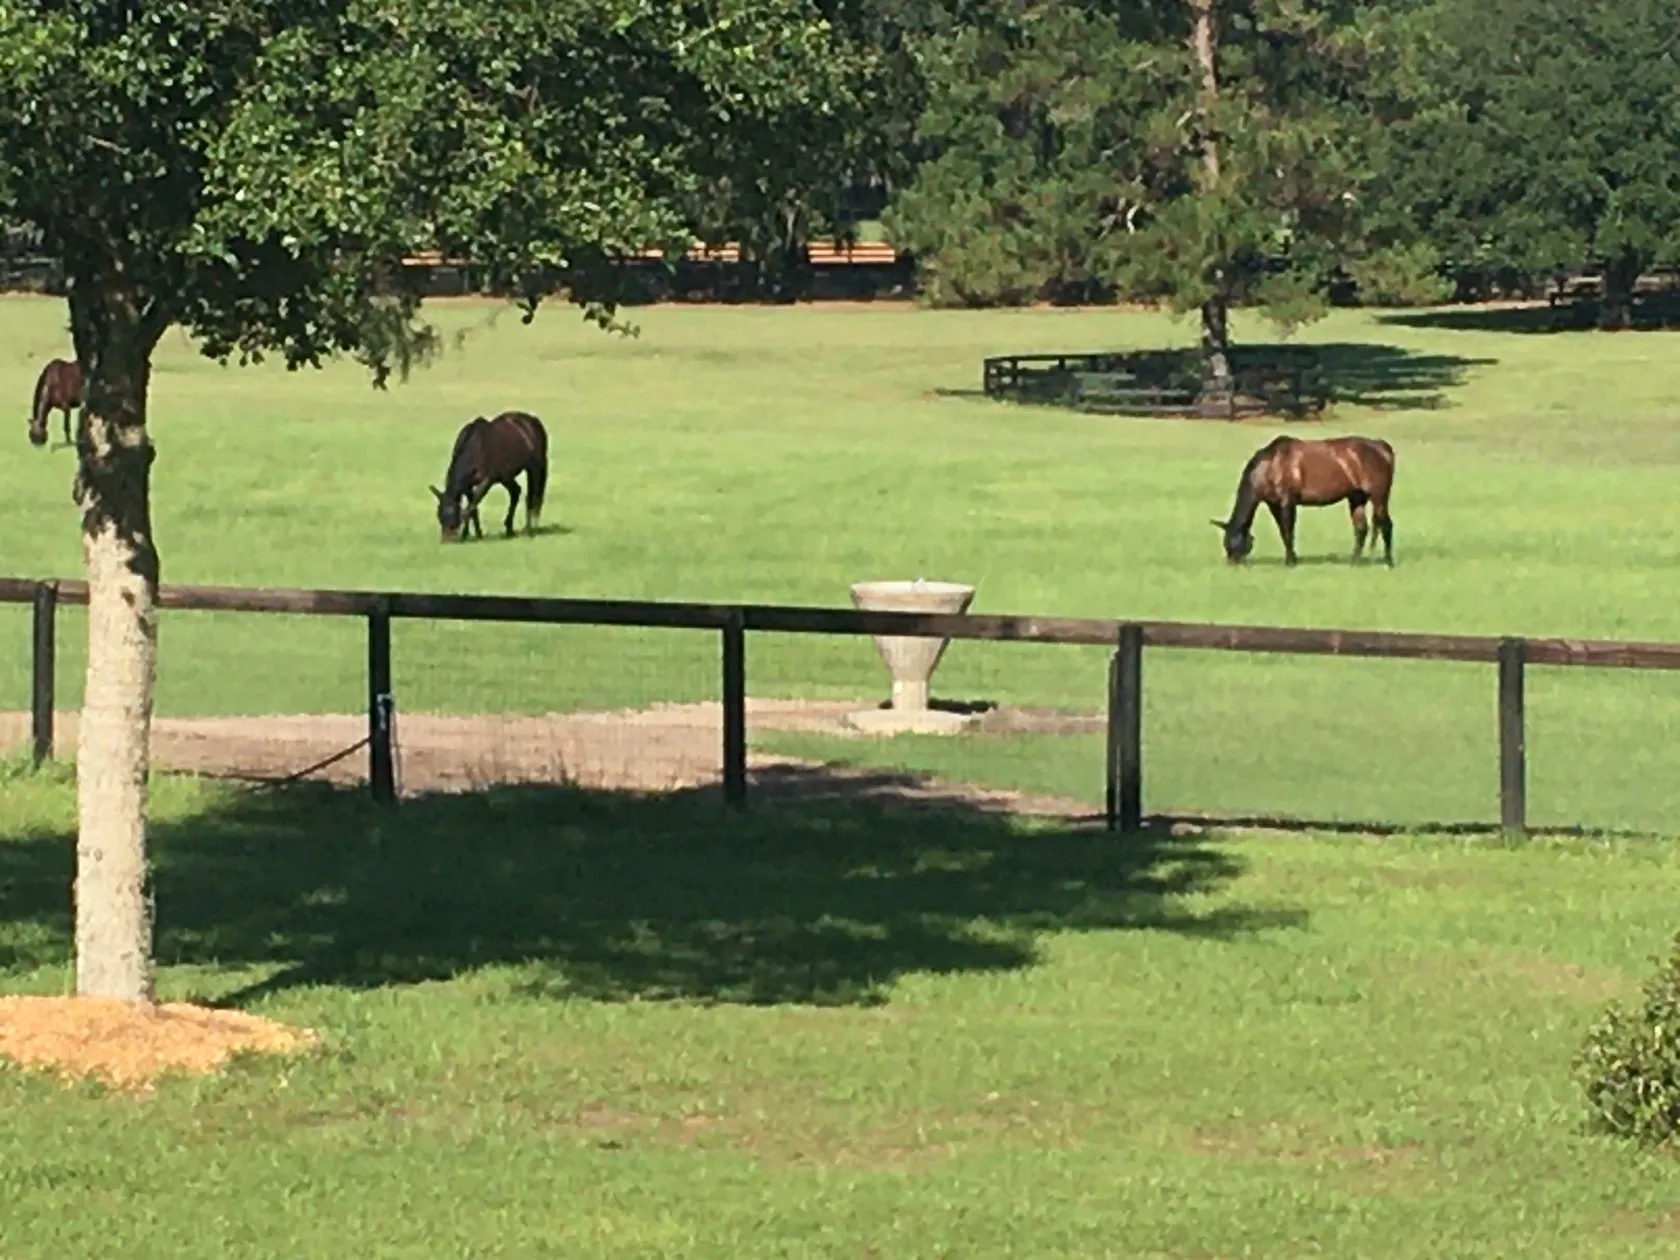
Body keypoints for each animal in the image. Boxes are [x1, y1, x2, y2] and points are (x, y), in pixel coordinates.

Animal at [430, 411, 548, 542]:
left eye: (451, 514)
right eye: (439, 515)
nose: (446, 539)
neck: (476, 447)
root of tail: (532, 420)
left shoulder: (487, 481)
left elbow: (471, 506)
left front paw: (469, 534)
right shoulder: (468, 485)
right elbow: (472, 508)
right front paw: (474, 534)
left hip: (535, 468)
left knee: (532, 497)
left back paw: (529, 530)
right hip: (505, 476)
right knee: (515, 492)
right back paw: (509, 529)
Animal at [1212, 435, 1396, 567]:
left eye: (1235, 540)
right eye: (1225, 542)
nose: (1232, 563)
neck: (1272, 465)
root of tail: (1381, 447)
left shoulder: (1288, 501)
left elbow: (1288, 531)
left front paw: (1290, 562)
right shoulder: (1274, 505)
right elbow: (1282, 531)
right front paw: (1292, 558)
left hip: (1379, 496)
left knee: (1386, 524)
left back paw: (1388, 561)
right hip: (1357, 498)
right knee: (1361, 528)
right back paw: (1354, 562)